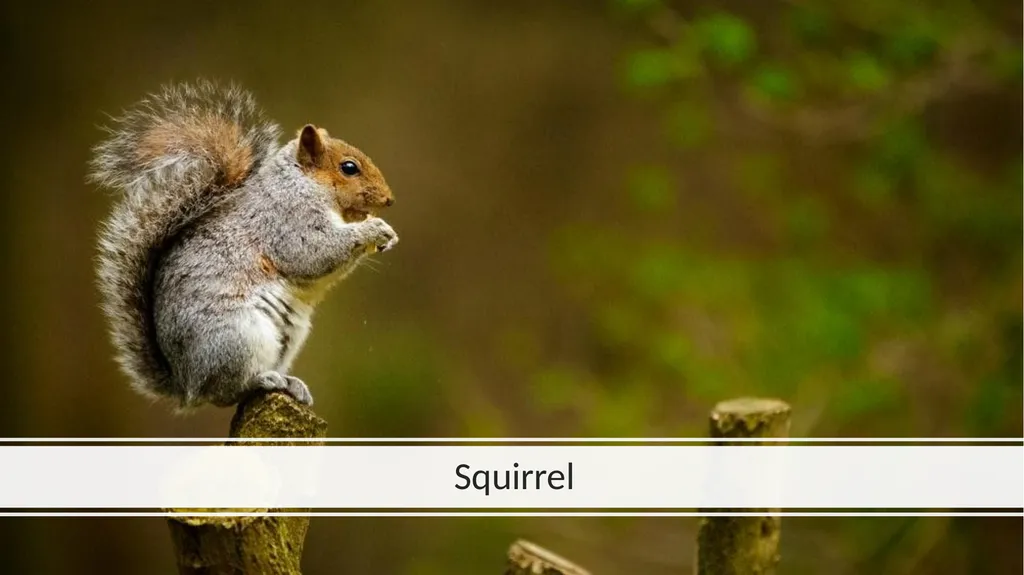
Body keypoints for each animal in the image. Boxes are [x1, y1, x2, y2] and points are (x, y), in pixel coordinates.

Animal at [89, 80, 399, 409]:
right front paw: (373, 229)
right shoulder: (287, 221)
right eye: (349, 168)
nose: (389, 199)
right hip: (238, 337)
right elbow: (314, 253)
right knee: (225, 392)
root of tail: (186, 384)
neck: (302, 183)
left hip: (288, 338)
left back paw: (291, 383)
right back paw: (263, 380)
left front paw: (387, 235)